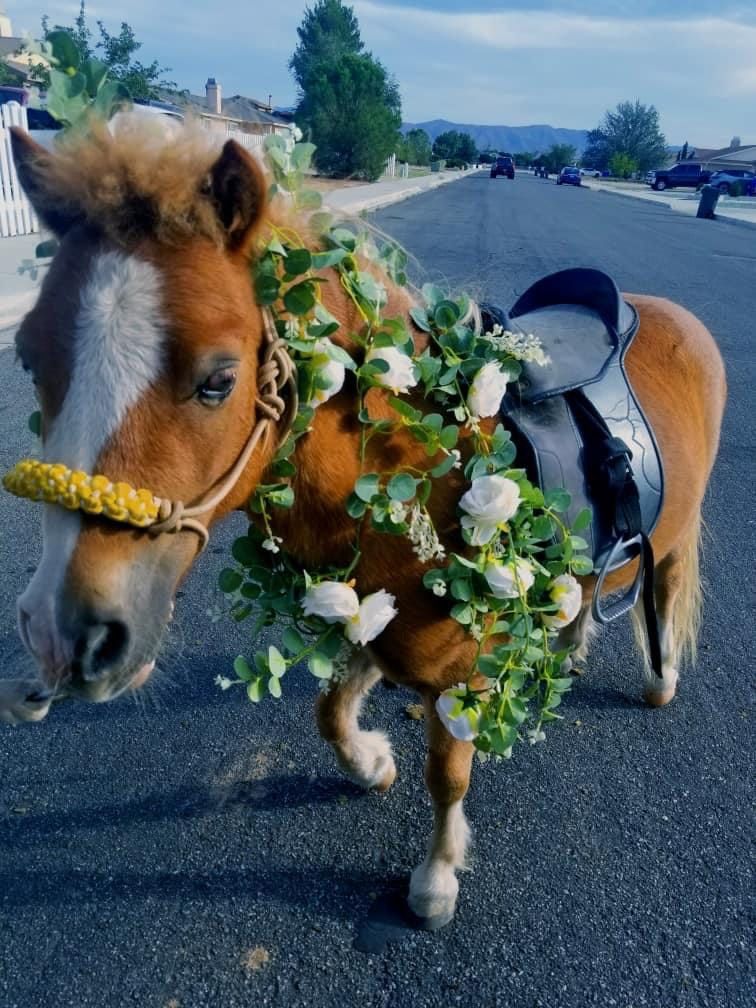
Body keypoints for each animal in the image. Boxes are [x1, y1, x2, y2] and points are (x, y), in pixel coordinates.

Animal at [4, 121, 726, 930]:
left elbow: (447, 775)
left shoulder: (461, 676)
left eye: (219, 380)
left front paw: (435, 877)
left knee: (663, 587)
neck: (421, 473)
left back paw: (658, 676)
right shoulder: (368, 614)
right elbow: (329, 707)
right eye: (27, 357)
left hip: (674, 539)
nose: (63, 633)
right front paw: (370, 761)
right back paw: (568, 645)